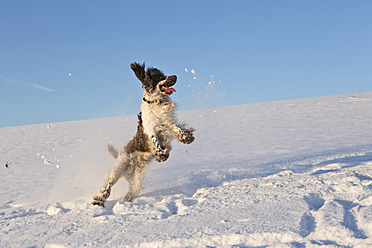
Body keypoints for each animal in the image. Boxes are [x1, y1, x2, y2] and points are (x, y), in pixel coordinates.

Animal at [92, 63, 195, 206]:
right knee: (108, 185)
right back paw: (100, 200)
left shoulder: (168, 123)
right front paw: (162, 155)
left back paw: (127, 200)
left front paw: (186, 137)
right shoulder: (151, 129)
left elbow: (178, 129)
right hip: (119, 167)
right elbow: (156, 142)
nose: (175, 76)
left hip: (138, 175)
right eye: (159, 77)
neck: (157, 102)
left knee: (133, 189)